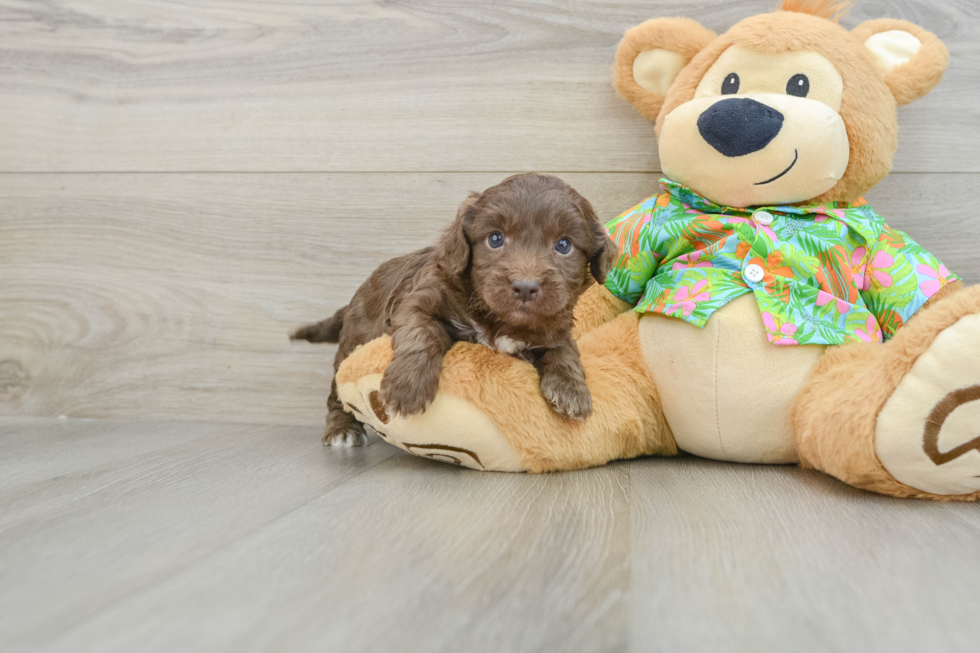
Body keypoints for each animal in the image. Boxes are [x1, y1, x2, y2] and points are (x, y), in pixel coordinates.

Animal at [290, 173, 620, 446]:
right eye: (495, 239)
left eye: (563, 245)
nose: (525, 287)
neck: (500, 320)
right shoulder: (419, 298)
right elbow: (421, 334)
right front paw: (407, 387)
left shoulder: (554, 326)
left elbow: (564, 350)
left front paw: (573, 392)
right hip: (350, 344)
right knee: (337, 392)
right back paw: (342, 430)